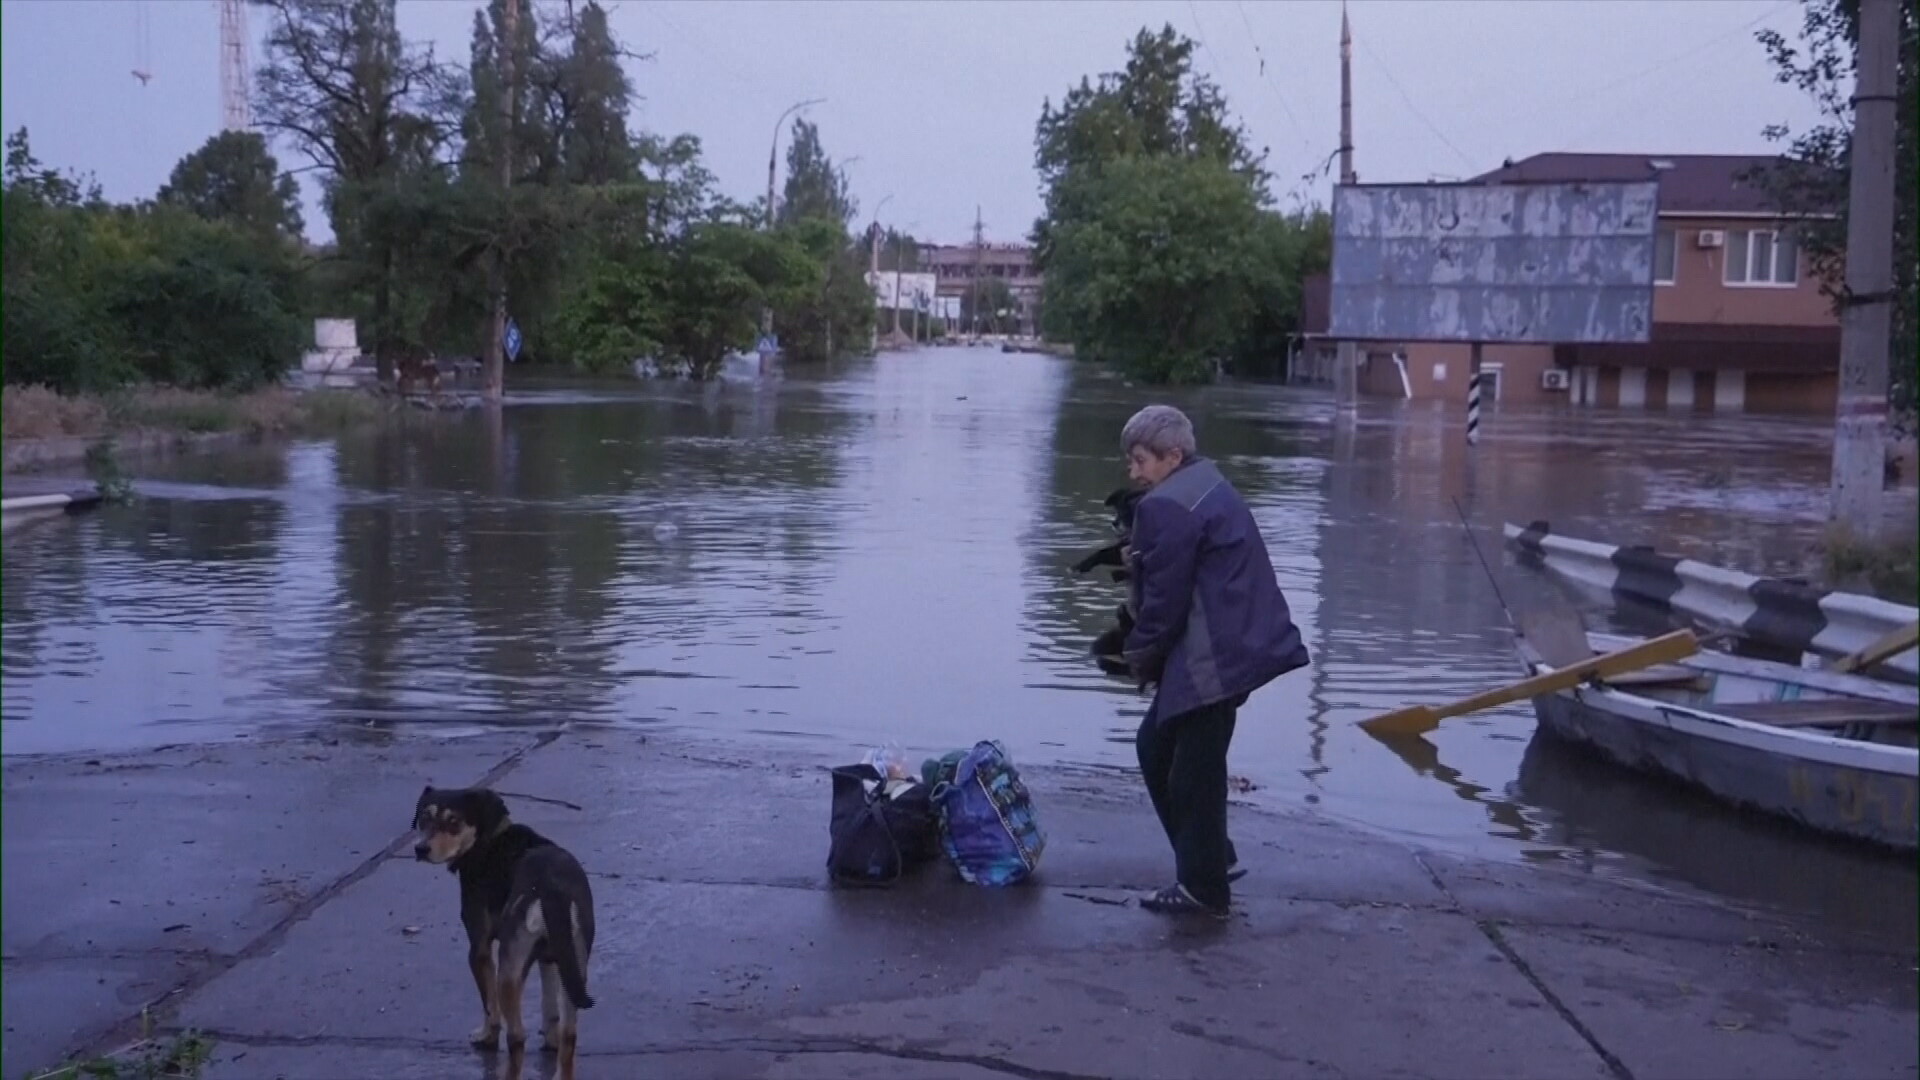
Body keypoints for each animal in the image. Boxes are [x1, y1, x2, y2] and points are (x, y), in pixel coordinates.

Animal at [414, 780, 595, 1076]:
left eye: (453, 822)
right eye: (423, 818)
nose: (420, 849)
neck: (490, 840)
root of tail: (553, 889)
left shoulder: (479, 948)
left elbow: (489, 1005)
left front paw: (486, 1036)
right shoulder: (550, 957)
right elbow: (549, 1008)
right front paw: (550, 1039)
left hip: (509, 971)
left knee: (517, 1036)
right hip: (575, 964)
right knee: (569, 1036)